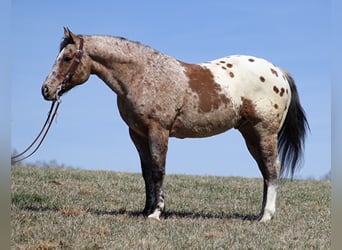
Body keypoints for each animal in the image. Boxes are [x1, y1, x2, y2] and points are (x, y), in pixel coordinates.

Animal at [41, 28, 308, 222]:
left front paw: (157, 213)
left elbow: (159, 170)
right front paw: (146, 209)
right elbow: (147, 172)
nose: (46, 90)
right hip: (250, 134)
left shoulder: (158, 130)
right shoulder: (137, 134)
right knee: (265, 171)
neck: (142, 74)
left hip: (264, 132)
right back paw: (260, 213)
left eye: (67, 58)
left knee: (272, 169)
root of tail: (278, 72)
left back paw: (266, 216)